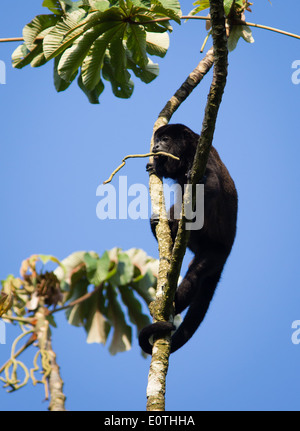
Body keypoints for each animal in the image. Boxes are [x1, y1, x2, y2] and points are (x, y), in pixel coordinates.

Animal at [139, 124, 239, 354]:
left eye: (165, 139)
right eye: (157, 140)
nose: (156, 147)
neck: (186, 152)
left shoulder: (200, 157)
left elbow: (210, 187)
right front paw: (154, 166)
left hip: (215, 253)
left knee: (196, 274)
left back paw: (174, 302)